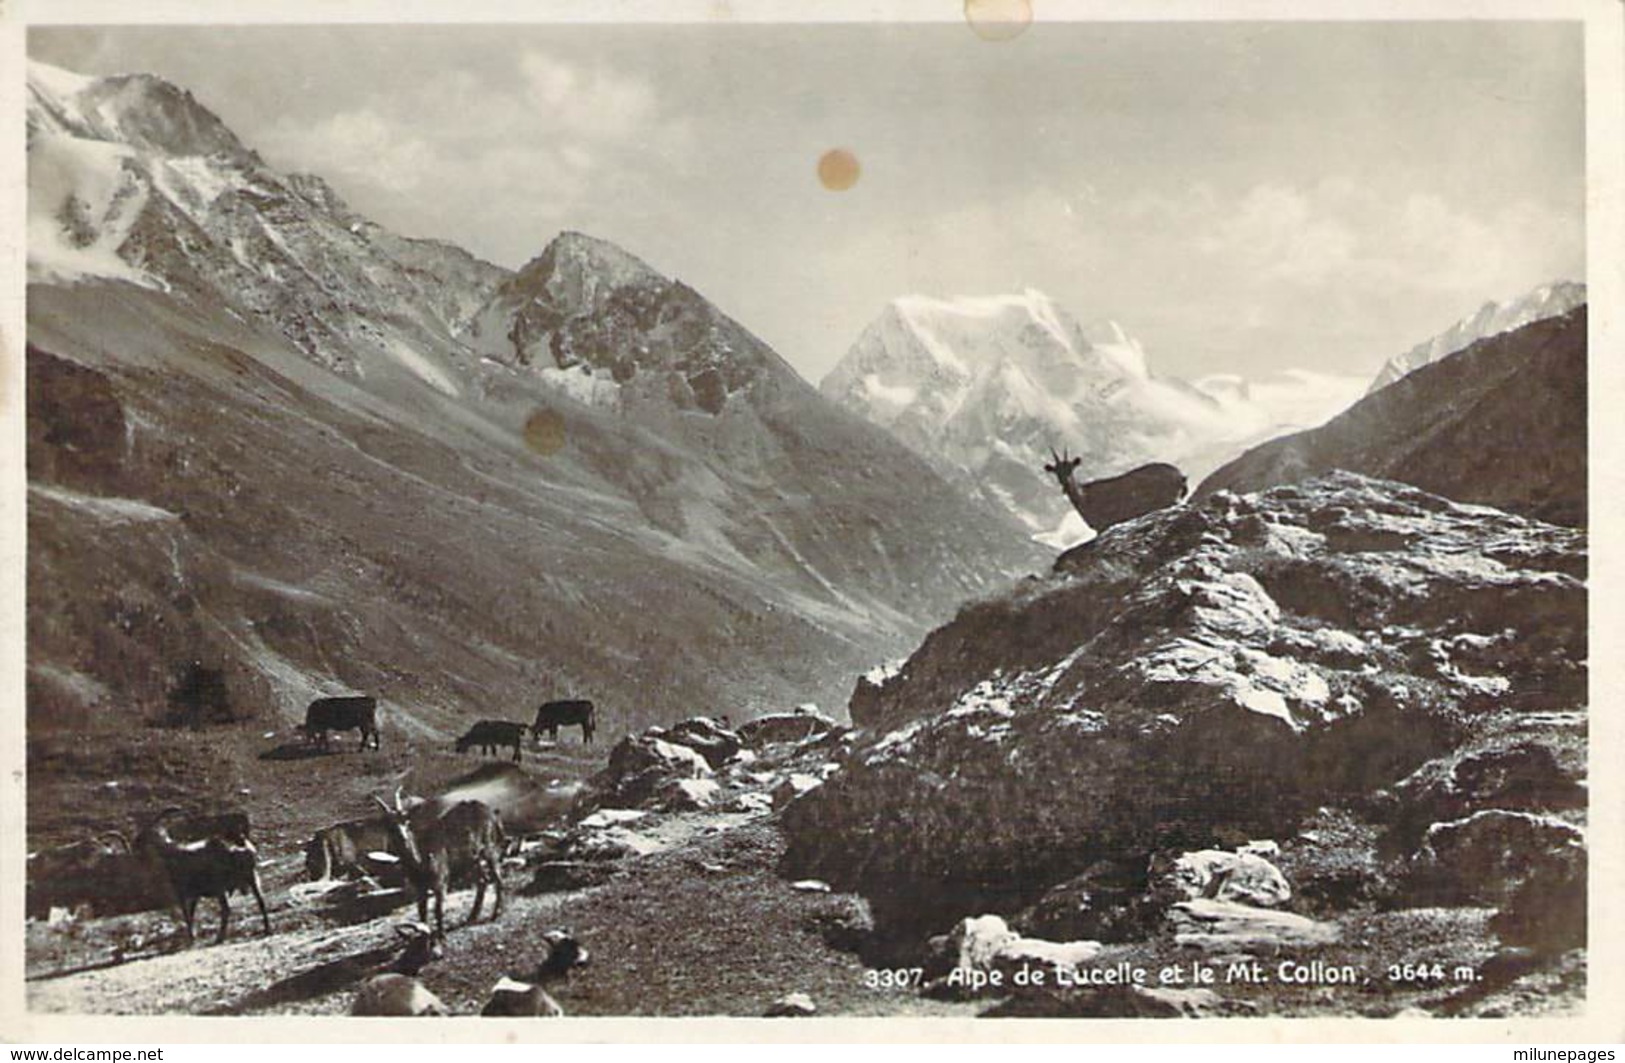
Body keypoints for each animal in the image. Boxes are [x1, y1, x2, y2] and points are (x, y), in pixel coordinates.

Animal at [125, 809, 269, 949]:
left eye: (143, 836)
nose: (133, 846)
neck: (170, 853)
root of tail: (240, 847)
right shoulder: (194, 894)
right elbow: (192, 913)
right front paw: (193, 936)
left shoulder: (182, 893)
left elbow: (187, 915)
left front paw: (191, 938)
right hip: (252, 877)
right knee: (261, 901)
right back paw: (267, 929)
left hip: (221, 886)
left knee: (226, 909)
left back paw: (219, 938)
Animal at [372, 786, 503, 936]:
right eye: (388, 826)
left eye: (407, 821)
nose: (402, 838)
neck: (421, 862)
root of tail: (490, 812)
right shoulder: (419, 887)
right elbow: (422, 912)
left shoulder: (441, 879)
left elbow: (437, 909)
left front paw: (441, 936)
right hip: (472, 859)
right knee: (482, 880)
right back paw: (472, 917)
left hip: (489, 847)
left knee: (497, 877)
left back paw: (496, 913)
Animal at [1046, 448, 1189, 533]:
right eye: (1056, 471)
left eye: (1071, 469)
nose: (1065, 485)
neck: (1085, 498)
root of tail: (1181, 476)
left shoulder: (1103, 525)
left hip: (1168, 500)